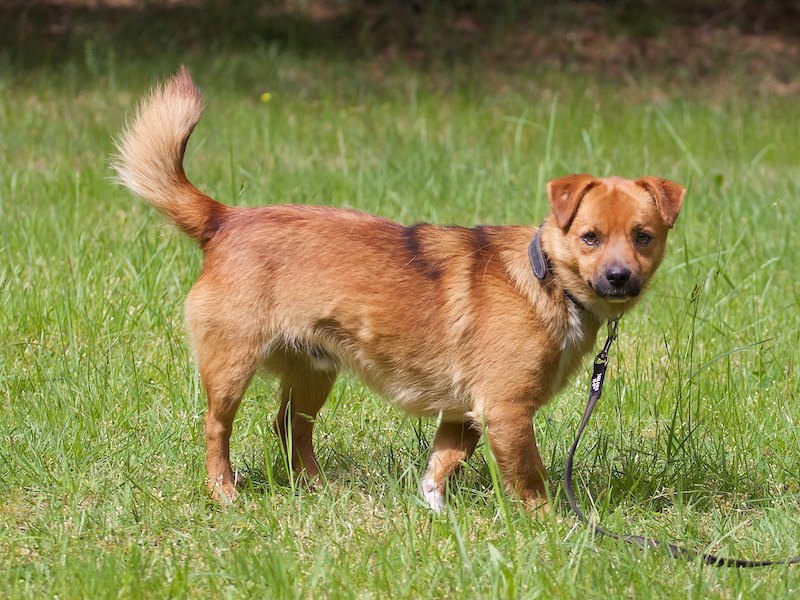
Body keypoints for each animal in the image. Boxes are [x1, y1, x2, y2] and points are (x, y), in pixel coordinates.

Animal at [113, 67, 685, 515]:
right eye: (590, 237)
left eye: (643, 237)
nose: (619, 277)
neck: (550, 283)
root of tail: (224, 219)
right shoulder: (506, 411)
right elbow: (530, 478)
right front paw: (549, 528)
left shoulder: (464, 414)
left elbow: (442, 464)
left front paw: (434, 510)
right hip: (232, 365)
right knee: (217, 428)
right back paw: (224, 491)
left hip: (314, 370)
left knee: (289, 426)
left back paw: (316, 487)